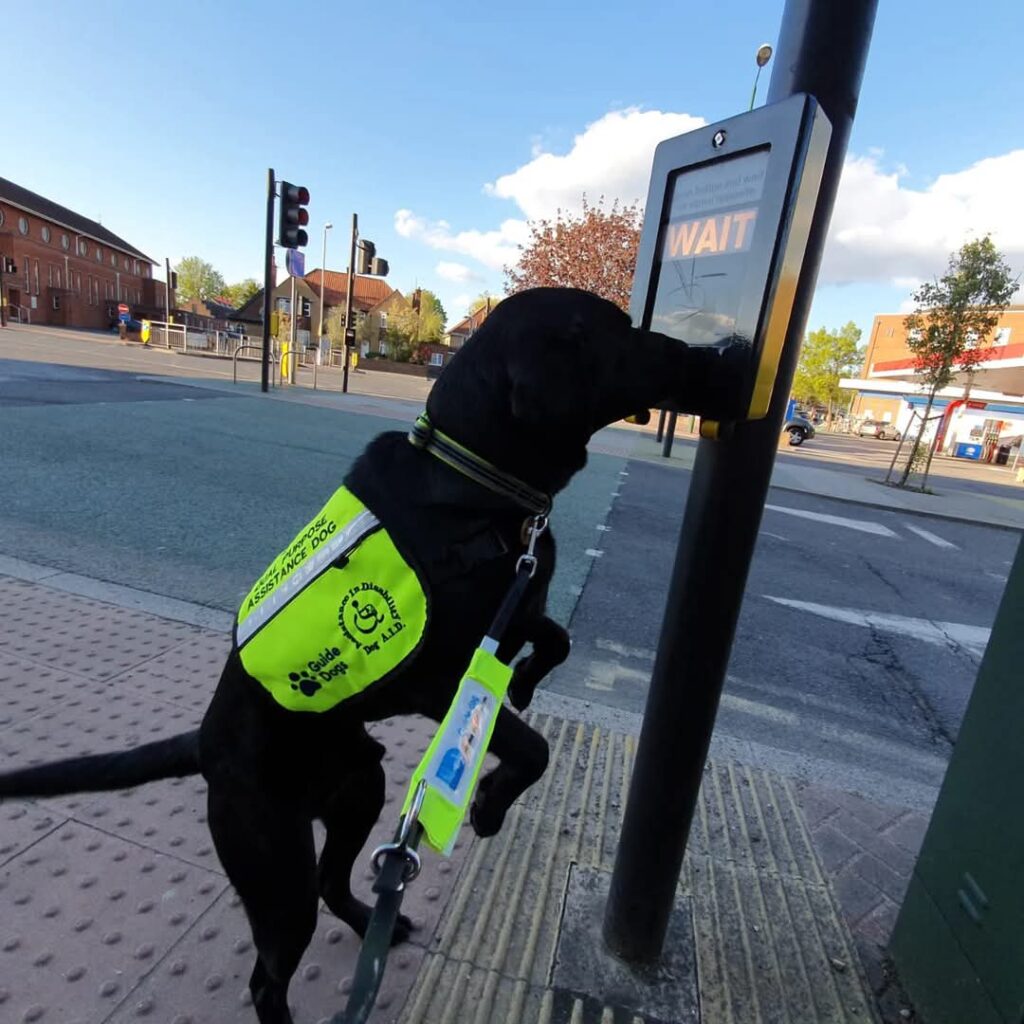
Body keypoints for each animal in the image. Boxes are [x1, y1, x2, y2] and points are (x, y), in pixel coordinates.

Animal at [0, 286, 737, 1024]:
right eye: (617, 331)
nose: (700, 353)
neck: (472, 476)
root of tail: (207, 743)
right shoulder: (440, 679)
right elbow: (533, 746)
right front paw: (490, 804)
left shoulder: (518, 607)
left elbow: (557, 639)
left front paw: (525, 682)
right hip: (276, 866)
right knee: (269, 974)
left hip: (361, 788)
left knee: (335, 883)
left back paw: (375, 921)